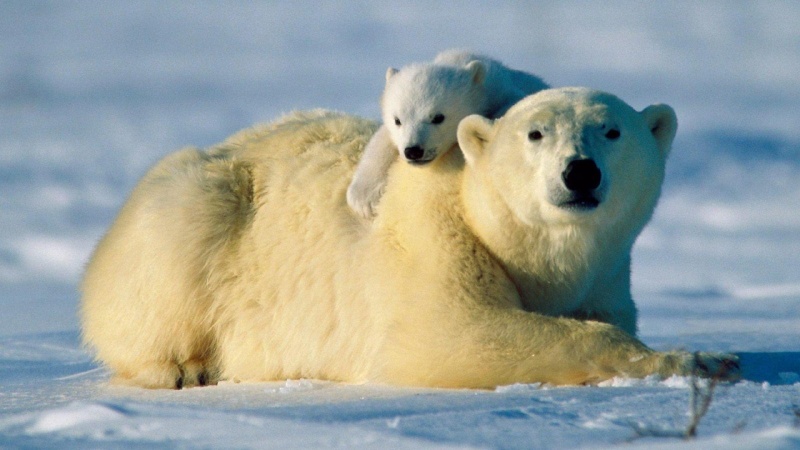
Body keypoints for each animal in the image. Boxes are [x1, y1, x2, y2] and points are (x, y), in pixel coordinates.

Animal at [81, 89, 736, 390]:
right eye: (536, 133)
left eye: (612, 129)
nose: (580, 172)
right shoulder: (434, 238)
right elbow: (455, 332)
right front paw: (703, 358)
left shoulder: (605, 274)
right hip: (197, 207)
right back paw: (184, 367)